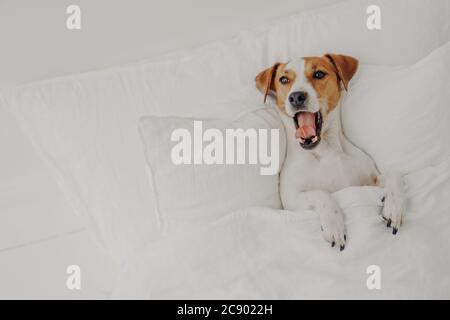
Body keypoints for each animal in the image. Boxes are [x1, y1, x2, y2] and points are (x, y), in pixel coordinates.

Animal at [255, 53, 406, 251]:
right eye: (284, 79)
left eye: (319, 74)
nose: (296, 97)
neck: (325, 150)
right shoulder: (290, 201)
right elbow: (322, 194)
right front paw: (334, 224)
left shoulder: (370, 180)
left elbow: (394, 175)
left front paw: (394, 206)